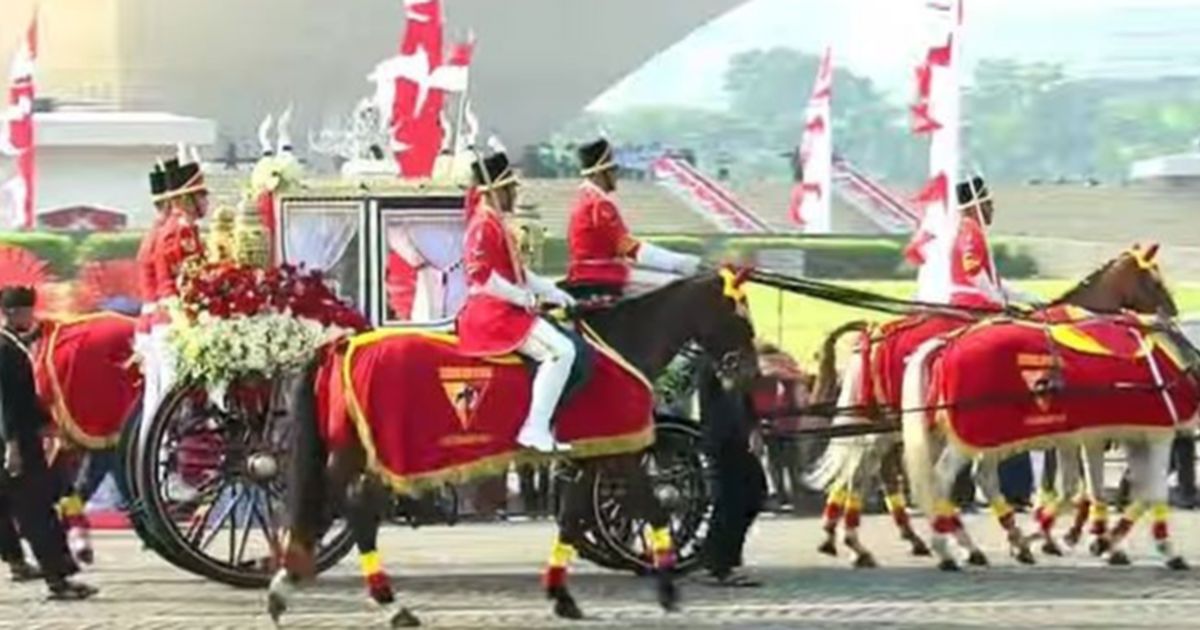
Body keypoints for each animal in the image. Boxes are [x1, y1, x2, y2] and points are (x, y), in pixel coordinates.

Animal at [272, 268, 758, 624]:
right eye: (741, 317)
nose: (750, 371)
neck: (618, 344)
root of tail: (342, 343)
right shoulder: (618, 453)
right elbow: (656, 506)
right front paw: (667, 588)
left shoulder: (586, 457)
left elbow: (571, 519)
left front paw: (562, 596)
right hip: (369, 454)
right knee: (344, 508)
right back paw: (358, 595)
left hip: (360, 453)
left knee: (339, 507)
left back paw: (306, 584)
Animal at [806, 243, 1180, 566]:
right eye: (1154, 279)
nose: (1172, 313)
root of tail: (875, 329)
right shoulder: (1078, 432)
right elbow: (1080, 486)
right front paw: (1077, 536)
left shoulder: (1063, 433)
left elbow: (1074, 485)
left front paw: (1071, 535)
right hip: (898, 426)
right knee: (881, 473)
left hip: (889, 427)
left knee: (866, 471)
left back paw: (856, 539)